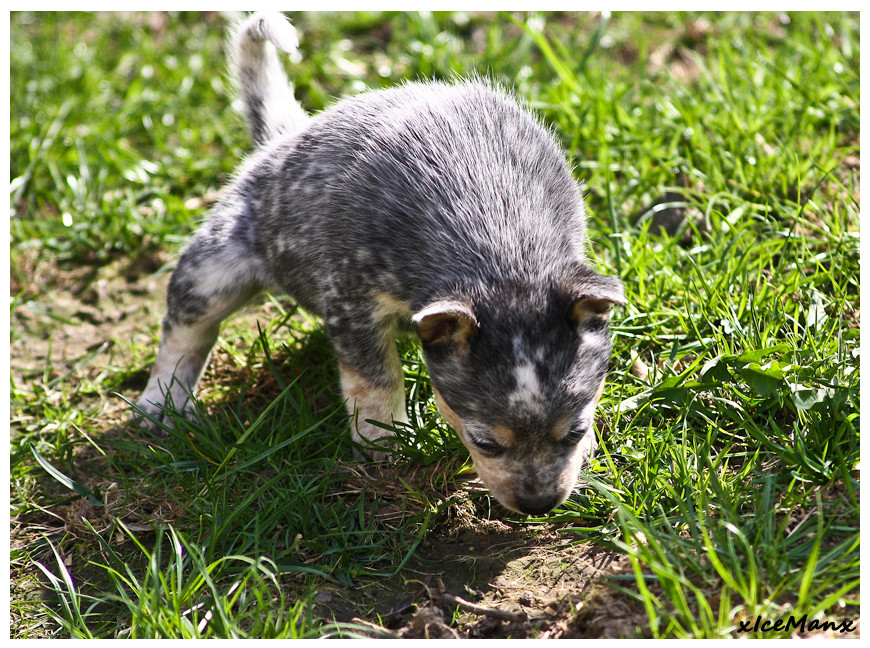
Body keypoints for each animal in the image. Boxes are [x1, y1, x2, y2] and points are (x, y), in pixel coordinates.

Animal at [135, 11, 628, 516]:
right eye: (485, 442)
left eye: (575, 430)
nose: (538, 504)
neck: (504, 246)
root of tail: (283, 137)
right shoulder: (351, 300)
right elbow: (374, 380)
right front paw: (383, 444)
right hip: (213, 267)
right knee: (185, 328)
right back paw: (162, 405)